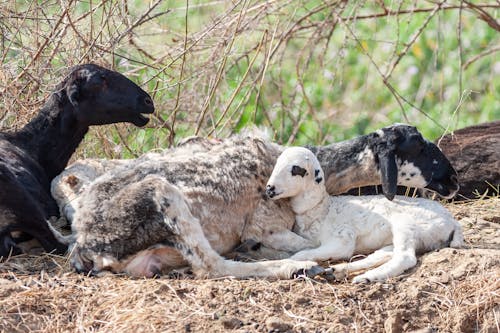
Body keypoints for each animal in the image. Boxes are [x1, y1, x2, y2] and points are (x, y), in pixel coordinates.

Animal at [266, 147, 464, 282]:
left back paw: (366, 277)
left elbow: (301, 254)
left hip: (407, 225)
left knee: (405, 257)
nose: (269, 188)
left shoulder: (343, 238)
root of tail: (453, 222)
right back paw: (337, 271)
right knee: (380, 256)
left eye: (296, 169)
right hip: (407, 239)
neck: (321, 208)